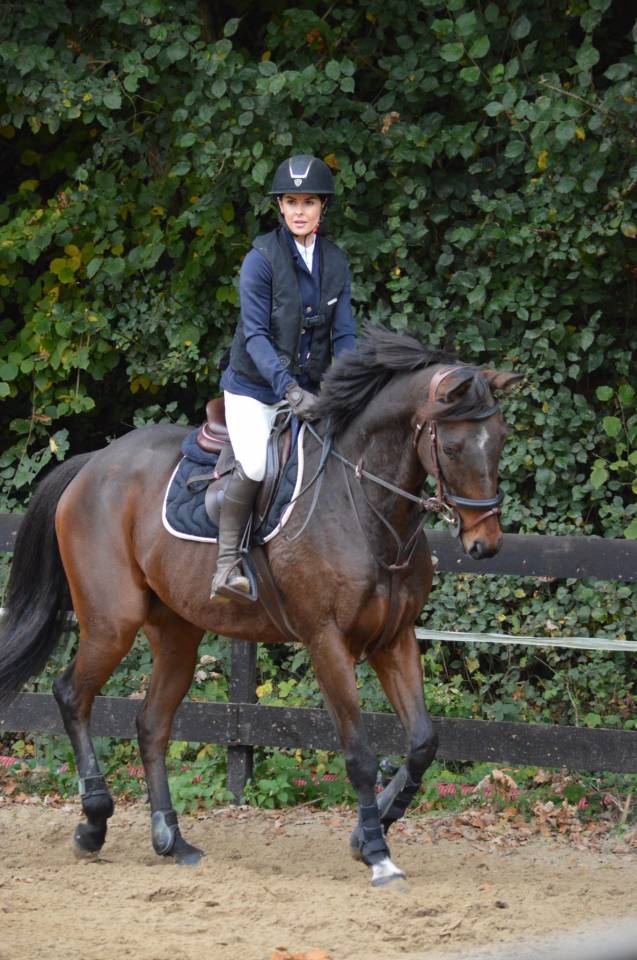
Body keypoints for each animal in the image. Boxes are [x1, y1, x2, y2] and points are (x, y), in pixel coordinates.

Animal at [0, 327, 521, 886]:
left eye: (501, 440)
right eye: (453, 446)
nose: (485, 544)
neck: (364, 502)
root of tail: (93, 464)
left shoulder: (394, 639)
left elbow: (423, 742)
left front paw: (372, 827)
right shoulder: (326, 641)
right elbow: (359, 753)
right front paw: (377, 853)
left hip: (178, 633)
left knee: (151, 724)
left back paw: (172, 840)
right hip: (112, 623)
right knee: (73, 695)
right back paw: (93, 824)